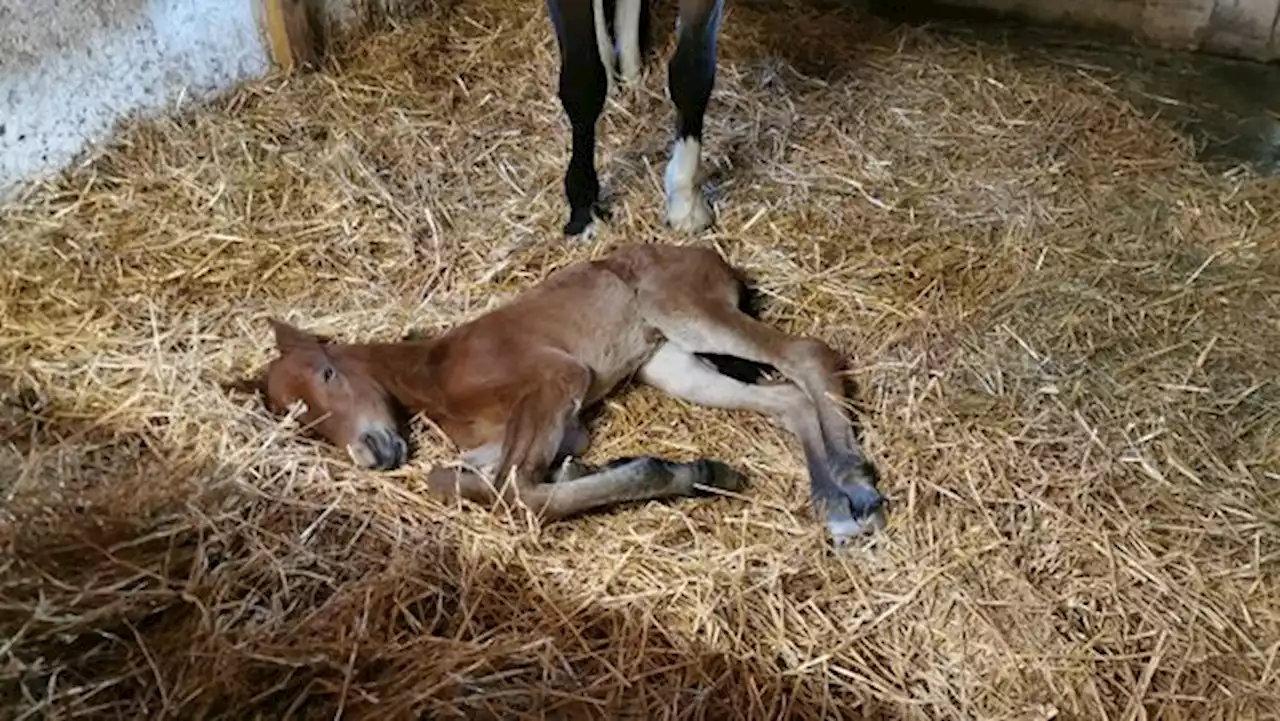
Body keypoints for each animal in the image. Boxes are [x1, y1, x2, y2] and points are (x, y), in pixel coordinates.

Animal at [230, 244, 885, 548]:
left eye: (327, 374)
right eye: (302, 423)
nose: (371, 452)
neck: (435, 373)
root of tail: (707, 255)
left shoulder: (556, 381)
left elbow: (517, 491)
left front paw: (661, 470)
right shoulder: (547, 427)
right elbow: (460, 481)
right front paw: (624, 468)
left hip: (686, 311)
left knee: (807, 356)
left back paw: (855, 484)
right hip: (668, 363)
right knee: (786, 400)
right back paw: (834, 500)